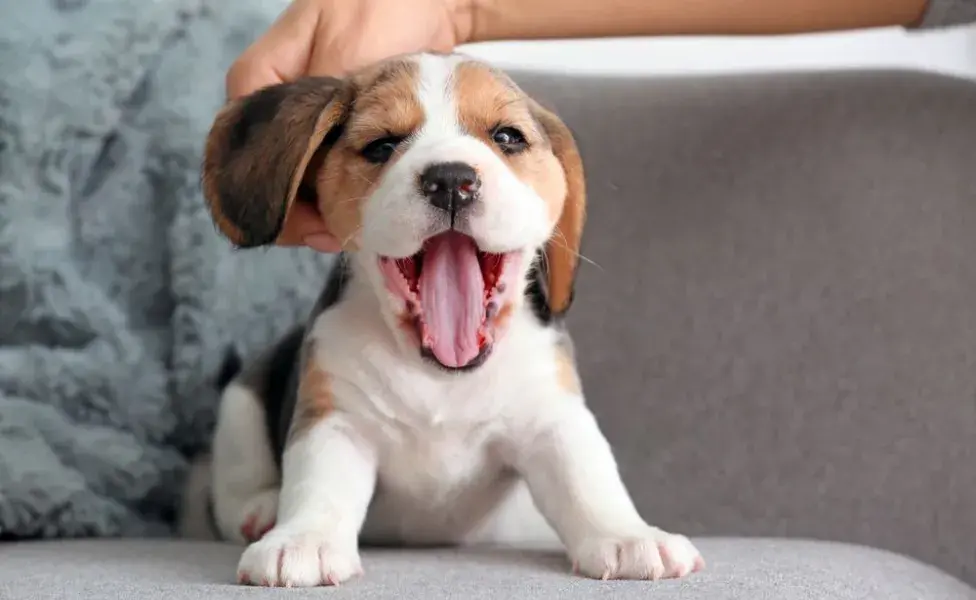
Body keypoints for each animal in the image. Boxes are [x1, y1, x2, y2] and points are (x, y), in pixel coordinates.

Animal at [198, 51, 700, 584]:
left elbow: (587, 475)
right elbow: (319, 482)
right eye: (382, 145)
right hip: (240, 402)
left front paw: (628, 536)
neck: (442, 376)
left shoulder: (552, 416)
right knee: (234, 483)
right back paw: (261, 509)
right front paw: (304, 540)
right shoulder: (336, 420)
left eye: (507, 137)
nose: (451, 180)